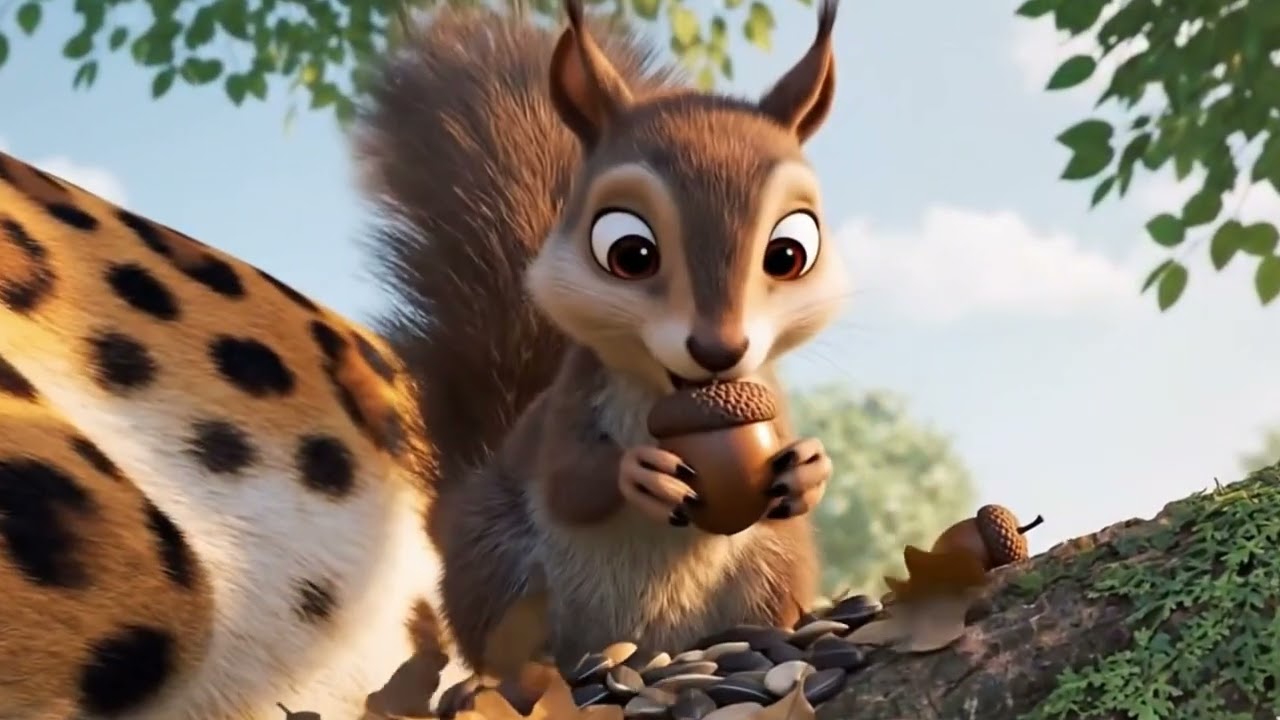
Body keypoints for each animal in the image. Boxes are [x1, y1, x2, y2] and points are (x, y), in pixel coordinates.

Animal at [354, 0, 849, 669]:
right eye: (629, 252)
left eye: (791, 252)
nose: (718, 350)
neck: (671, 395)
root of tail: (644, 647)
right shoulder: (569, 405)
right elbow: (569, 482)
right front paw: (637, 472)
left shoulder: (768, 398)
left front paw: (810, 466)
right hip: (497, 564)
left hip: (774, 562)